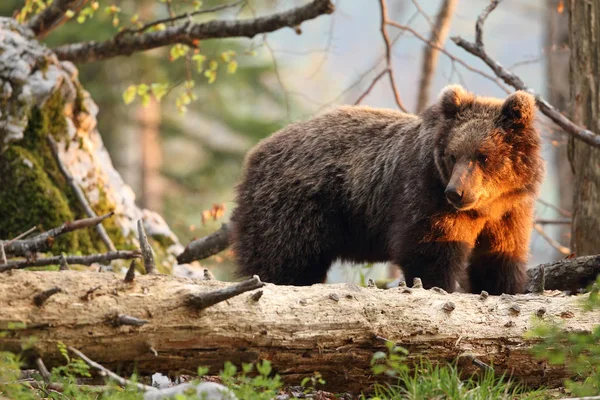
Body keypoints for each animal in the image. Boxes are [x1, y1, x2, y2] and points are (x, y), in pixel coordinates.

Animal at [229, 84, 544, 296]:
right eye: (453, 155)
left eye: (483, 156)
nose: (456, 192)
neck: (485, 207)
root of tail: (254, 155)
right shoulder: (425, 194)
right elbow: (430, 253)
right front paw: (439, 287)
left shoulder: (511, 211)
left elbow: (500, 258)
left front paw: (502, 288)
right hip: (294, 211)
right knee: (284, 264)